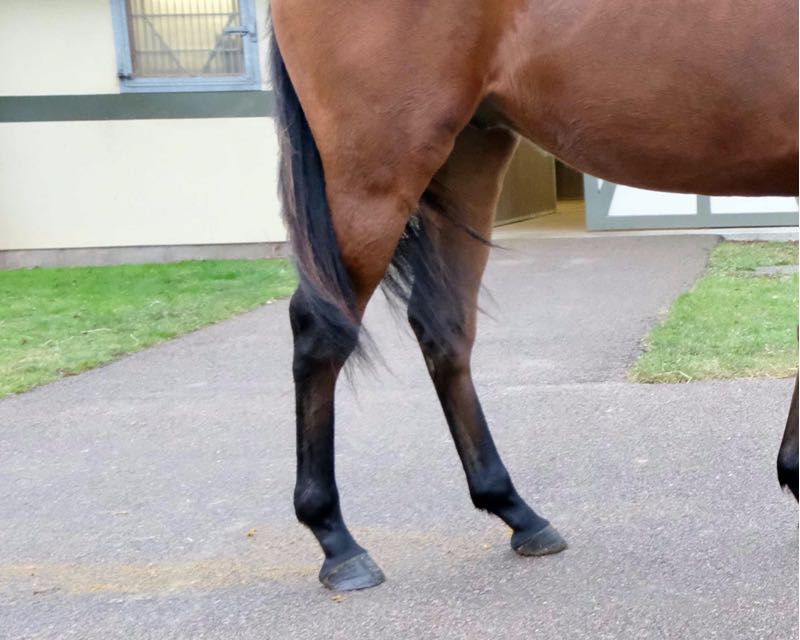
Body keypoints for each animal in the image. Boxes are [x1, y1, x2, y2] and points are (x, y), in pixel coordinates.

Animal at [268, 0, 798, 591]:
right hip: (377, 170)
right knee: (321, 331)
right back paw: (337, 541)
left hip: (468, 152)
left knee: (443, 326)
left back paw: (516, 512)